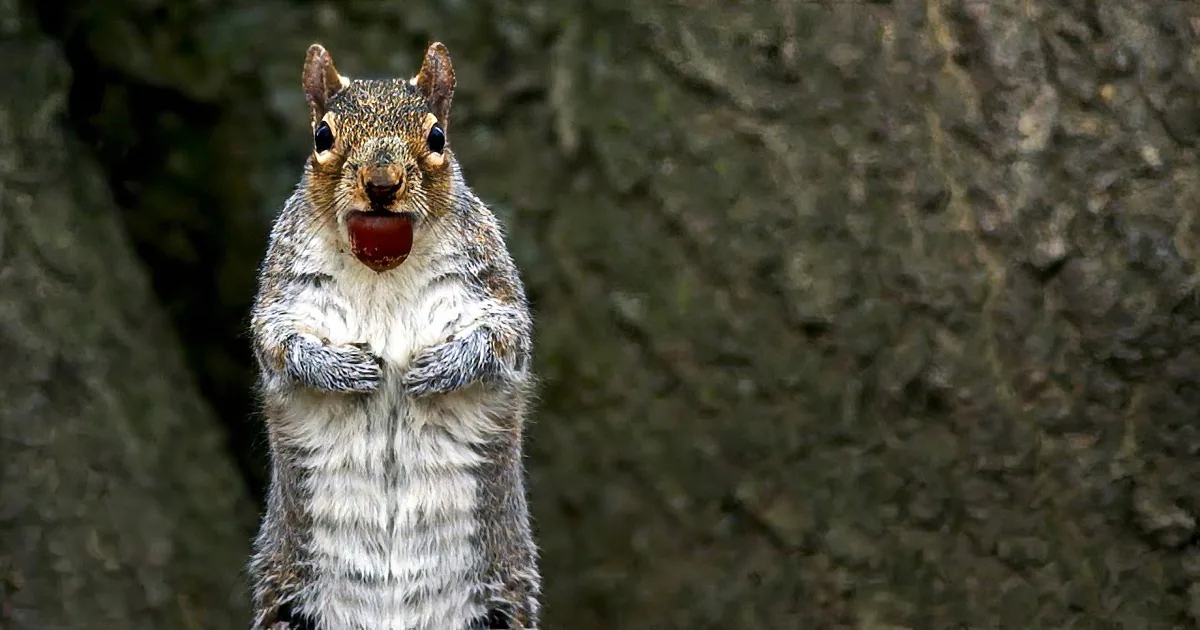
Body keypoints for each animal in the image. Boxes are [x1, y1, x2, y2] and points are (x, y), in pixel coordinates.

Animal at [246, 42, 540, 630]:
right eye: (322, 136)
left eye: (437, 137)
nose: (381, 186)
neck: (382, 268)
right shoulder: (283, 292)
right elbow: (278, 347)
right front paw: (344, 370)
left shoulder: (493, 285)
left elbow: (504, 339)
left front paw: (439, 368)